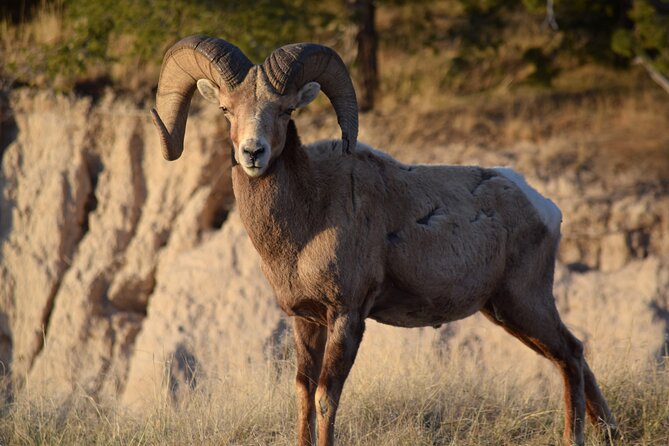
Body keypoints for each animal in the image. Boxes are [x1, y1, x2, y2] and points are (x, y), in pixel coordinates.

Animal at [153, 35, 620, 446]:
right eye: (226, 109)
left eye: (285, 111)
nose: (254, 153)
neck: (307, 220)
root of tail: (542, 205)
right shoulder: (305, 321)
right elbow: (303, 395)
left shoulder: (347, 316)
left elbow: (325, 398)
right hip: (505, 311)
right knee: (574, 356)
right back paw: (609, 433)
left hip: (524, 301)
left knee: (571, 354)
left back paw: (575, 437)